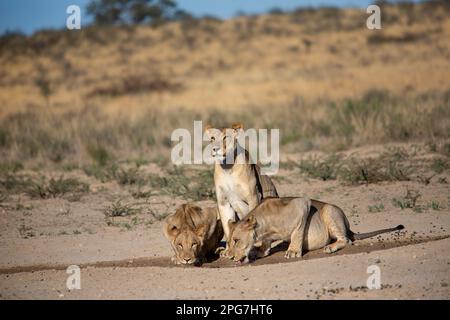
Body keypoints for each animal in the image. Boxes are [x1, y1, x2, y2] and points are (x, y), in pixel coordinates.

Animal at [205, 122, 278, 250]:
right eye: (212, 138)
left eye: (226, 137)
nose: (215, 149)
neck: (228, 168)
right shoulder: (224, 203)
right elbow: (227, 227)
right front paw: (227, 250)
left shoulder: (253, 197)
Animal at [227, 196, 402, 264]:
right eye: (228, 242)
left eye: (236, 240)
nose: (232, 257)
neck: (265, 226)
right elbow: (265, 244)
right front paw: (259, 251)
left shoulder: (302, 204)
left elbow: (298, 232)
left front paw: (293, 252)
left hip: (329, 210)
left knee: (346, 239)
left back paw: (330, 247)